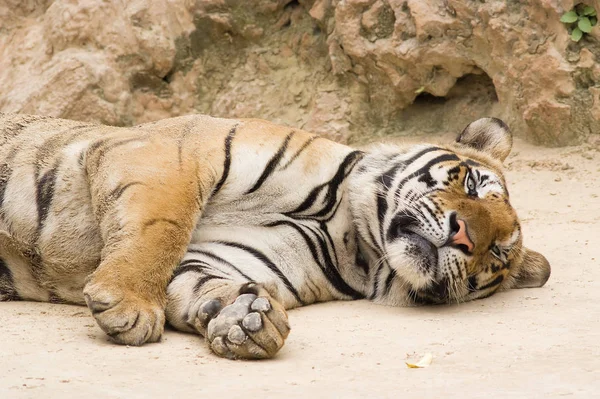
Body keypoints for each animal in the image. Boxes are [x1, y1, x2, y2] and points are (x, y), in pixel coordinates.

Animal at [0, 112, 552, 360]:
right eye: (472, 185)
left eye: (496, 253)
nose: (465, 237)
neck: (357, 235)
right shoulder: (172, 154)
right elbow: (163, 228)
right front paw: (130, 303)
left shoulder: (223, 260)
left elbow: (202, 286)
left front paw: (249, 322)